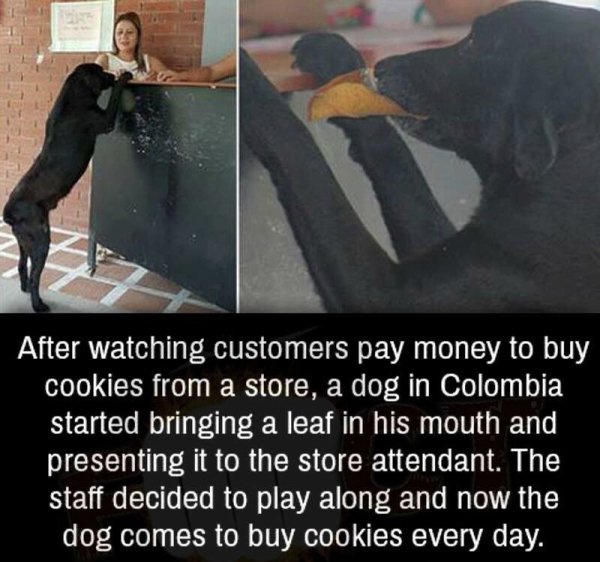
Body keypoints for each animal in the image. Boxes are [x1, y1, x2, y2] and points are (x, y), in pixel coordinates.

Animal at [3, 65, 130, 312]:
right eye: (101, 71)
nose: (111, 74)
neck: (73, 97)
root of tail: (9, 213)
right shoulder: (104, 120)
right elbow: (116, 96)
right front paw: (125, 77)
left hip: (24, 241)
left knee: (22, 265)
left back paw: (25, 289)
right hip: (41, 241)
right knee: (35, 276)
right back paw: (38, 304)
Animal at [240, 1, 600, 310]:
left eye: (473, 43)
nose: (382, 66)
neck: (567, 166)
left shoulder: (385, 294)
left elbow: (298, 146)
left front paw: (245, 73)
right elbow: (397, 159)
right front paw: (340, 62)